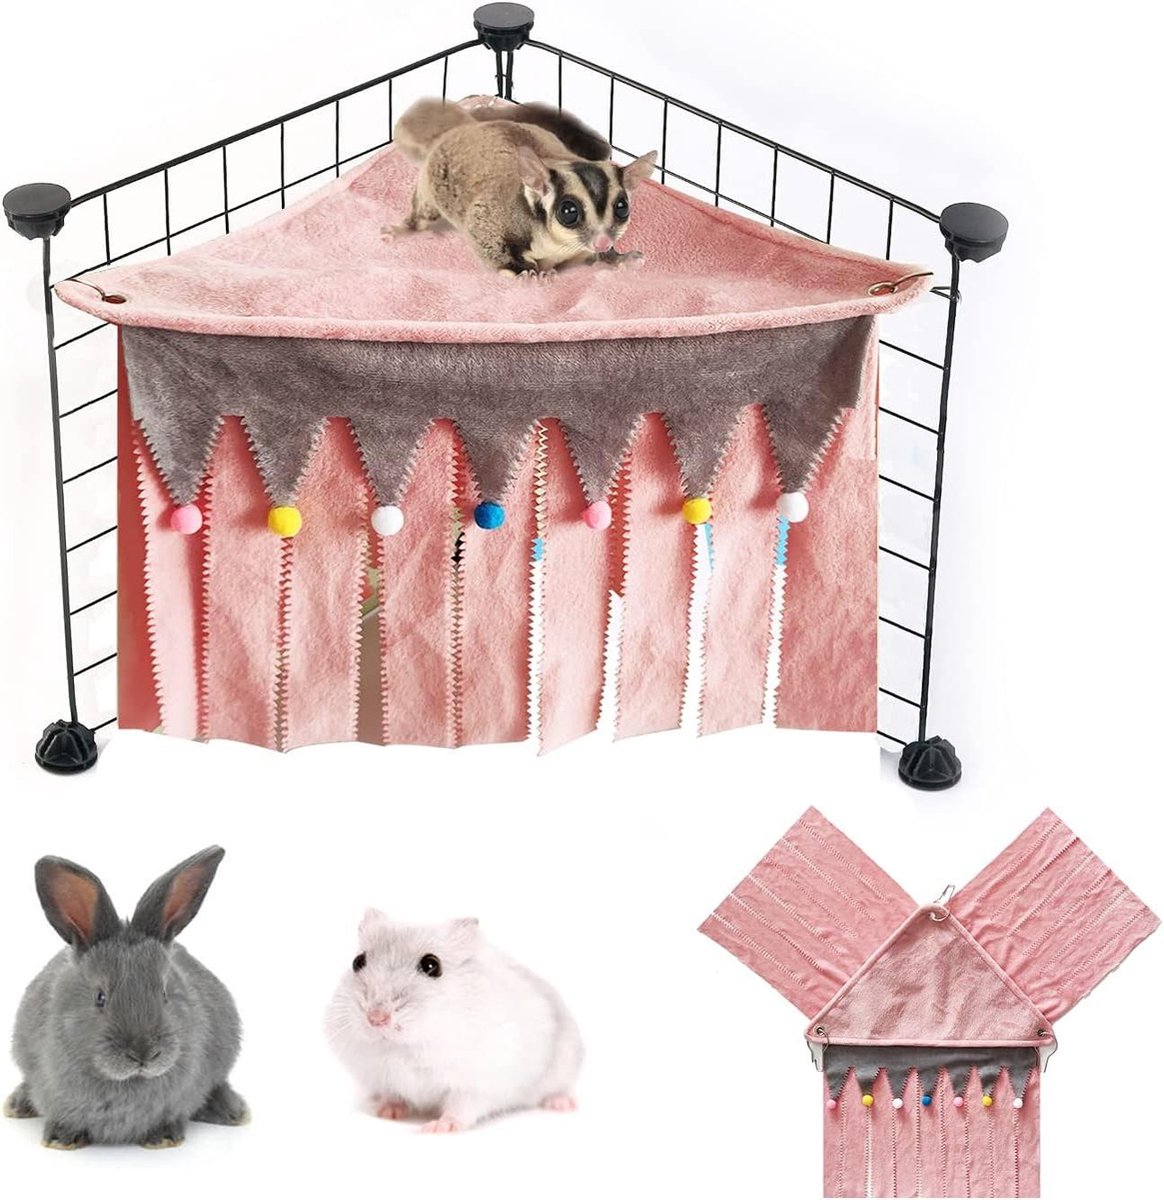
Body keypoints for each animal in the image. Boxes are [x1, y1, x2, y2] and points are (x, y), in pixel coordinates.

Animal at [325, 909, 583, 1132]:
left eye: (432, 965)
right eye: (358, 962)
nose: (376, 1018)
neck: (407, 1045)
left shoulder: (476, 1085)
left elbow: (461, 1107)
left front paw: (437, 1127)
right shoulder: (382, 1077)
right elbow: (392, 1094)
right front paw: (386, 1112)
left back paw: (562, 1104)